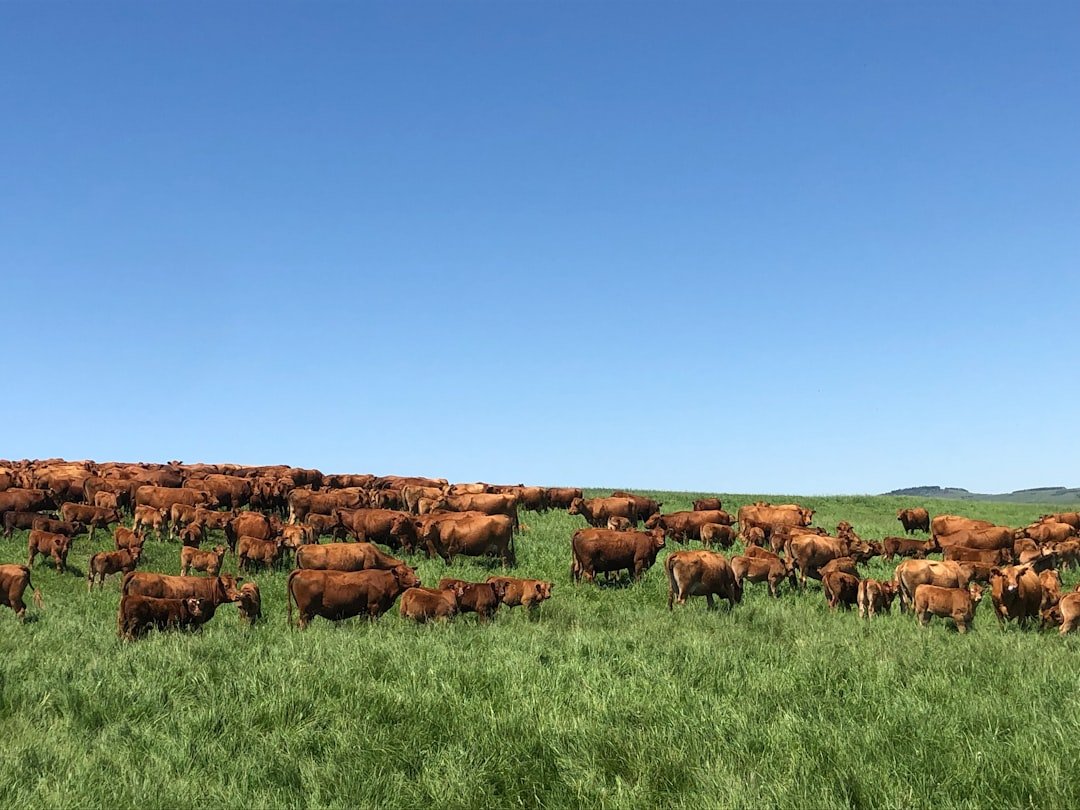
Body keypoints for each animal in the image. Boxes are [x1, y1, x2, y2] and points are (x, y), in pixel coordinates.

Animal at [286, 565, 422, 629]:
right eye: (404, 574)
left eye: (412, 571)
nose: (418, 581)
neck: (383, 580)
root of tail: (302, 571)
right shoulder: (374, 608)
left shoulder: (364, 611)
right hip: (306, 612)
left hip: (308, 613)